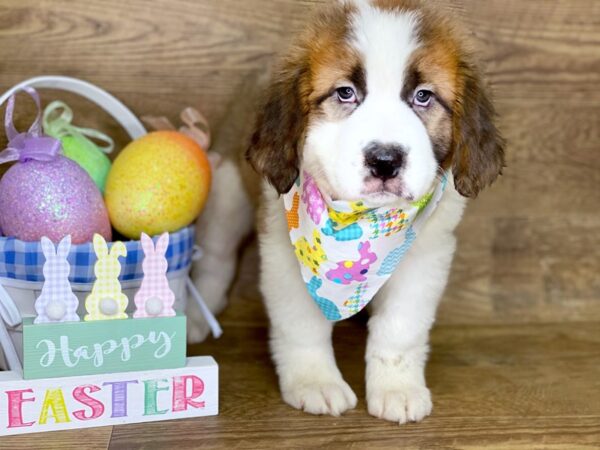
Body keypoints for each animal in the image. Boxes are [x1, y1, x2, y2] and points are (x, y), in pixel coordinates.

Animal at [189, 0, 506, 426]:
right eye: (345, 93)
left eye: (423, 96)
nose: (385, 160)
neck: (362, 223)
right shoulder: (285, 254)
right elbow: (302, 324)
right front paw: (314, 381)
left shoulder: (426, 256)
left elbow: (400, 328)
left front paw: (397, 388)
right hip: (227, 190)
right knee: (215, 257)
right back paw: (197, 313)